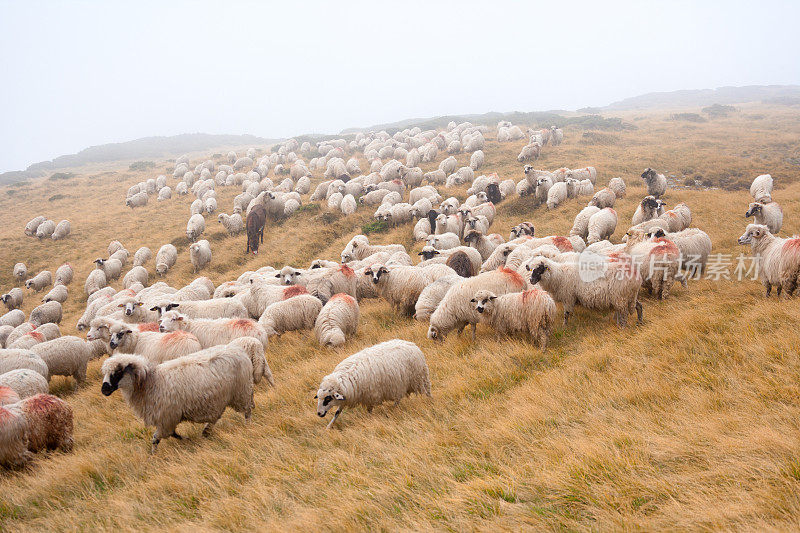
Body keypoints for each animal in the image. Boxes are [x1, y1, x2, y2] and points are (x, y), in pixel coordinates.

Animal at [100, 350, 255, 454]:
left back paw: (247, 427)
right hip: (223, 398)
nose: (104, 390)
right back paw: (206, 431)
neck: (150, 382)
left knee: (247, 410)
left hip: (241, 392)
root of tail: (241, 352)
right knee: (217, 416)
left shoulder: (166, 417)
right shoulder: (168, 418)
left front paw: (152, 455)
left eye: (118, 372)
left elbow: (157, 438)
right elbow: (173, 434)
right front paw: (187, 439)